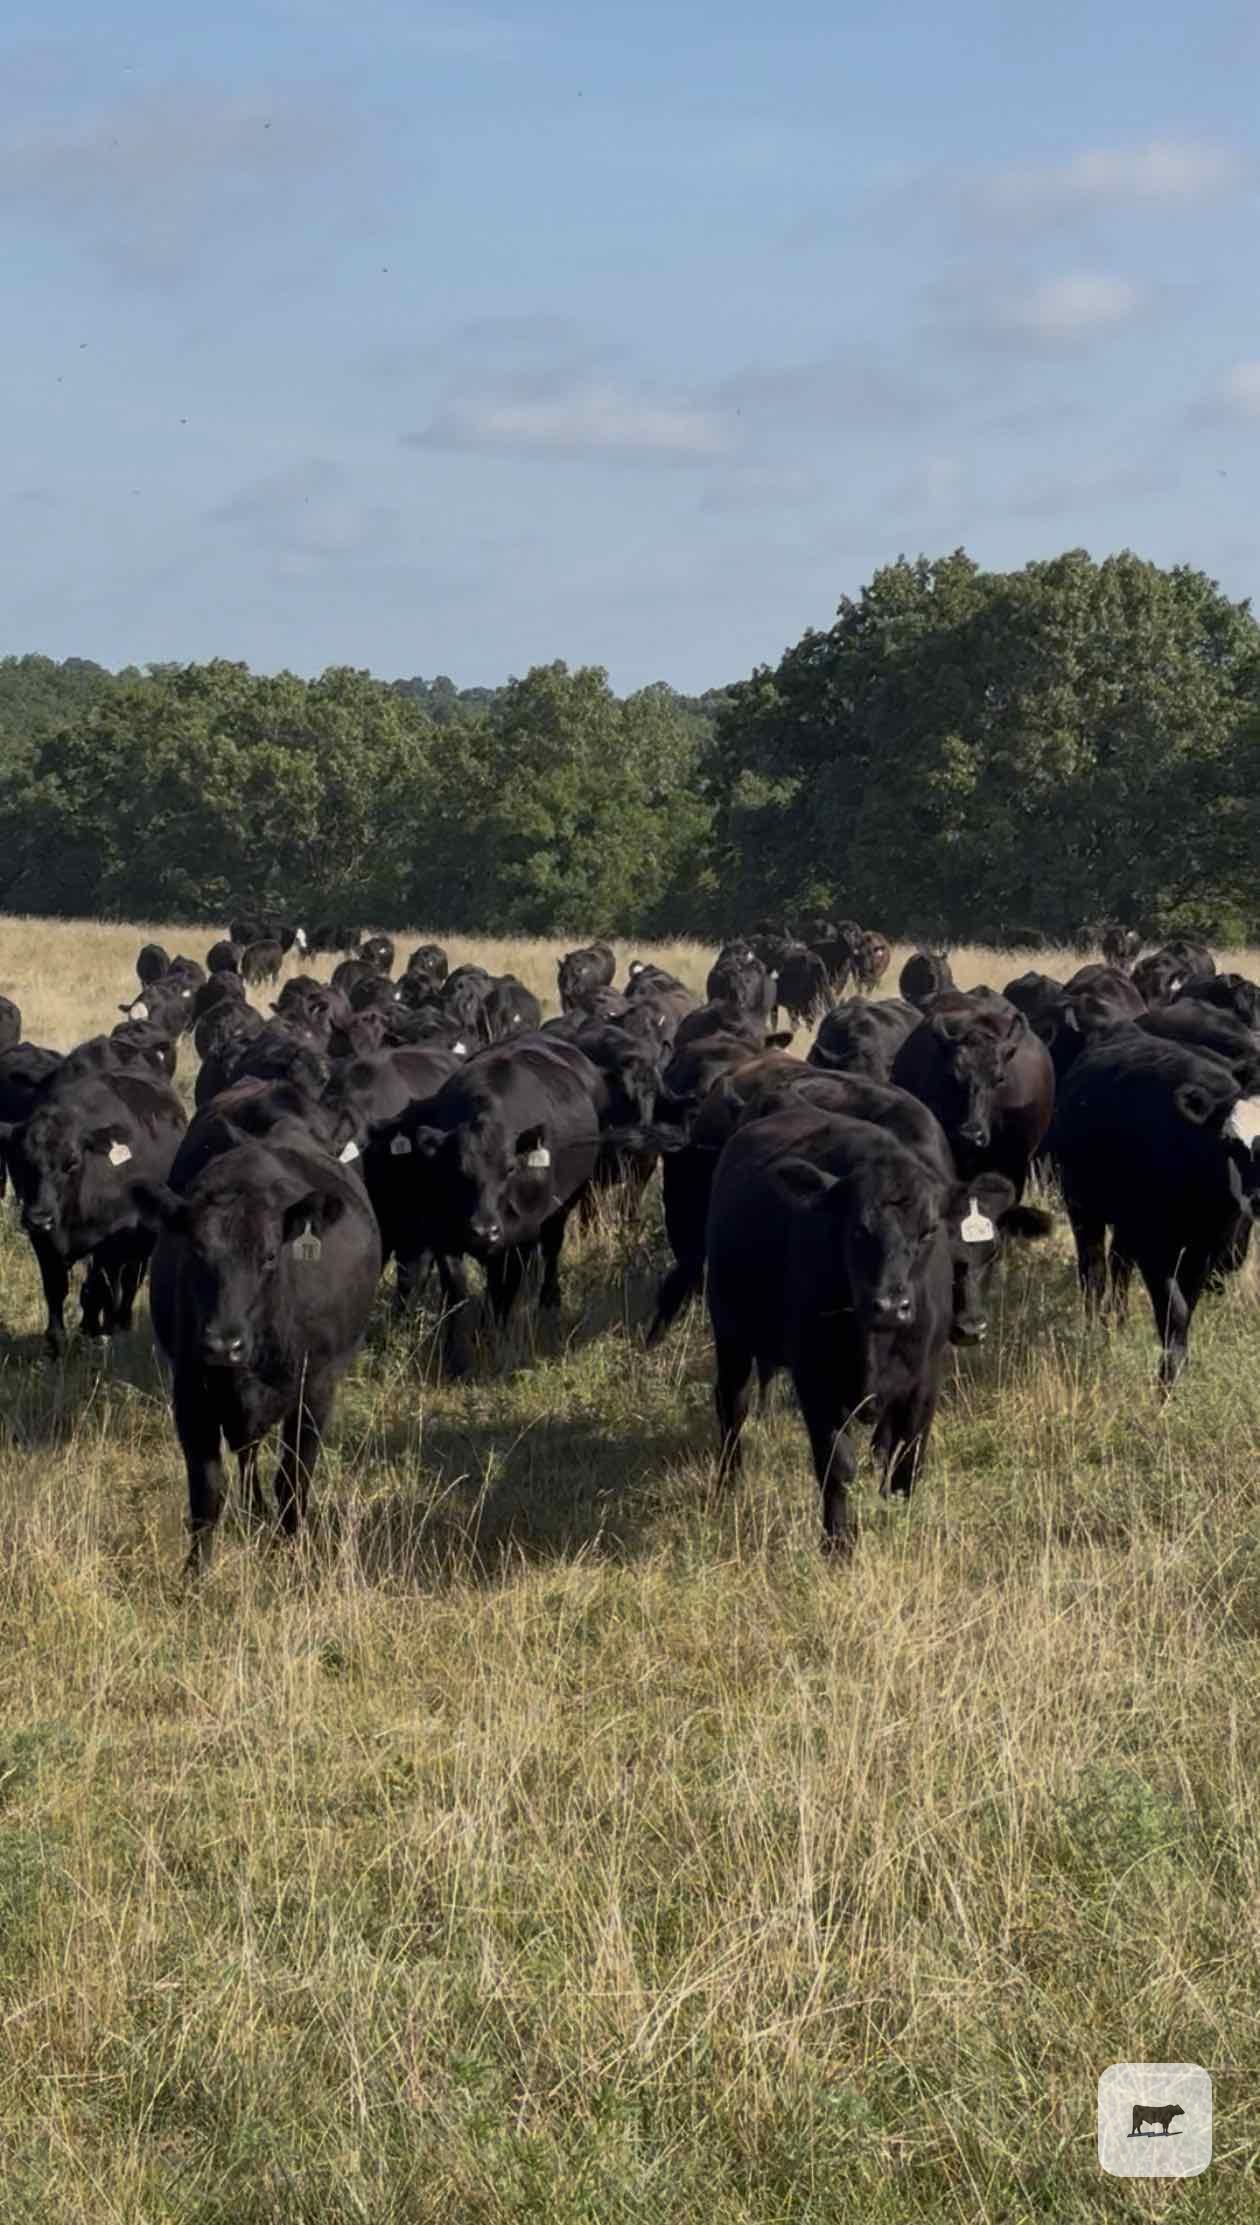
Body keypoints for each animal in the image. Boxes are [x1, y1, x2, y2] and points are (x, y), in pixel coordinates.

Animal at [1, 1067, 186, 1353]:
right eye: (19, 1160)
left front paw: (91, 1331)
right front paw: (56, 1342)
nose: (40, 1218)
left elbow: (95, 1289)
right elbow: (55, 1288)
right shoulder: (43, 1241)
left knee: (129, 1280)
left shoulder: (110, 1241)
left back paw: (119, 1322)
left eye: (72, 1162)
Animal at [135, 1128, 380, 1570]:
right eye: (195, 1251)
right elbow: (207, 1490)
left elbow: (293, 1478)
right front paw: (195, 1571)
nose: (223, 1345)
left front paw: (291, 1551)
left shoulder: (316, 1389)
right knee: (246, 1452)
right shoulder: (190, 1391)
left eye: (268, 1256)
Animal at [705, 1102, 977, 1551]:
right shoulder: (815, 1380)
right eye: (857, 1229)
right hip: (729, 1333)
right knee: (732, 1407)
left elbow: (907, 1456)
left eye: (929, 1231)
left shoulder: (924, 1379)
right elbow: (837, 1465)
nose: (890, 1306)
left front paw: (900, 1521)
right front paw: (838, 1544)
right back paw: (729, 1486)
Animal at [1049, 1031, 1260, 1379]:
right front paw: (1167, 1375)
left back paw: (1118, 1325)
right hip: (1082, 1208)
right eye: (1230, 1142)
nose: (1257, 1197)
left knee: (1119, 1264)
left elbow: (1186, 1306)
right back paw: (1092, 1333)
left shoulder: (1205, 1250)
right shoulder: (1155, 1247)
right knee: (1094, 1272)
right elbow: (1175, 1311)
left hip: (1126, 1221)